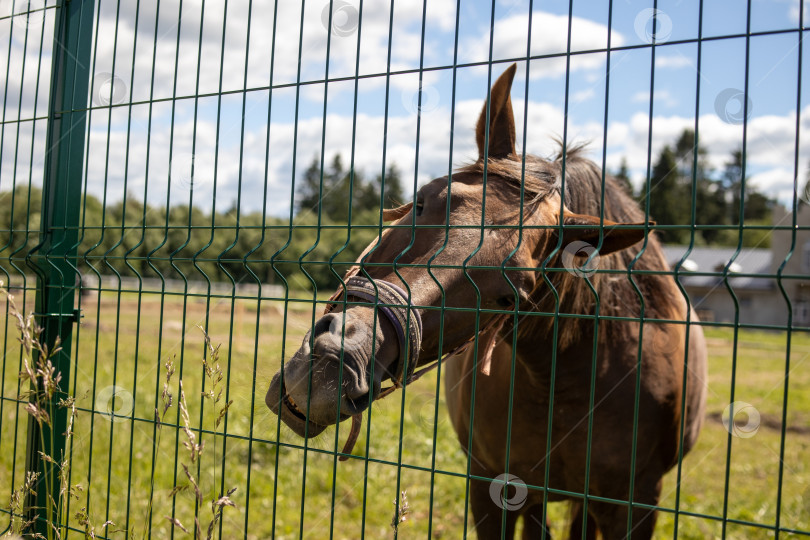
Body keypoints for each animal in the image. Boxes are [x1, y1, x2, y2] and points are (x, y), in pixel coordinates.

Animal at [264, 64, 700, 540]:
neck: (566, 381)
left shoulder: (635, 506)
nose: (333, 365)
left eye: (510, 295)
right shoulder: (489, 482)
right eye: (422, 200)